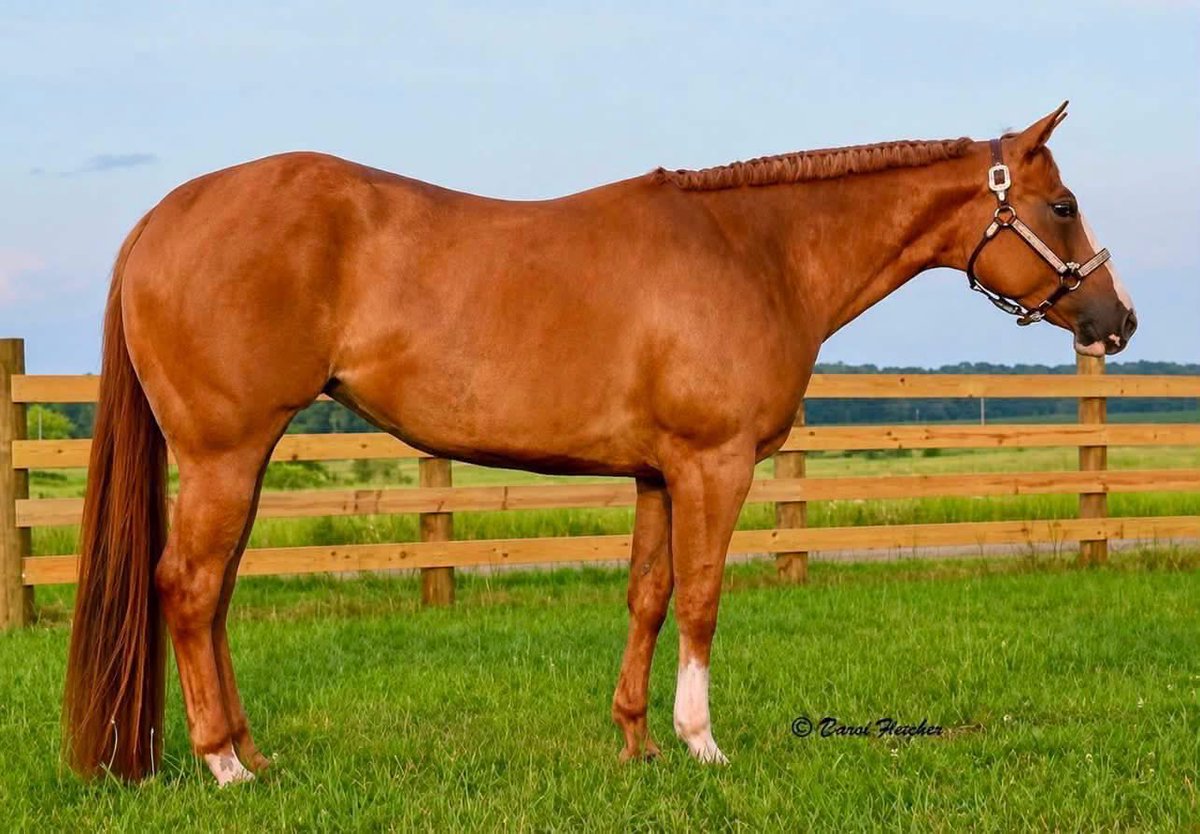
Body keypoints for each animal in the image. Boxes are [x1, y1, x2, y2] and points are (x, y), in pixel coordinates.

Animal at [62, 102, 1136, 784]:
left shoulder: (657, 474)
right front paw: (702, 746)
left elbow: (649, 598)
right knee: (189, 590)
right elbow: (702, 599)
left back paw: (251, 752)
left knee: (215, 597)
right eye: (1063, 204)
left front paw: (637, 745)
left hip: (239, 462)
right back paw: (224, 766)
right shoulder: (714, 464)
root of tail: (162, 218)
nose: (1116, 320)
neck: (755, 251)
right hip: (224, 455)